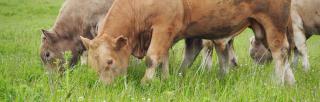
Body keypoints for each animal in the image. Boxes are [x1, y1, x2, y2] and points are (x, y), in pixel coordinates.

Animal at [80, 0, 296, 85]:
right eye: (91, 65)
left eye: (109, 61)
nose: (104, 86)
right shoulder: (167, 32)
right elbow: (164, 58)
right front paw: (165, 78)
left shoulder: (162, 26)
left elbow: (153, 58)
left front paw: (145, 82)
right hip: (260, 27)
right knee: (284, 53)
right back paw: (290, 82)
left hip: (274, 20)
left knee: (280, 51)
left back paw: (278, 82)